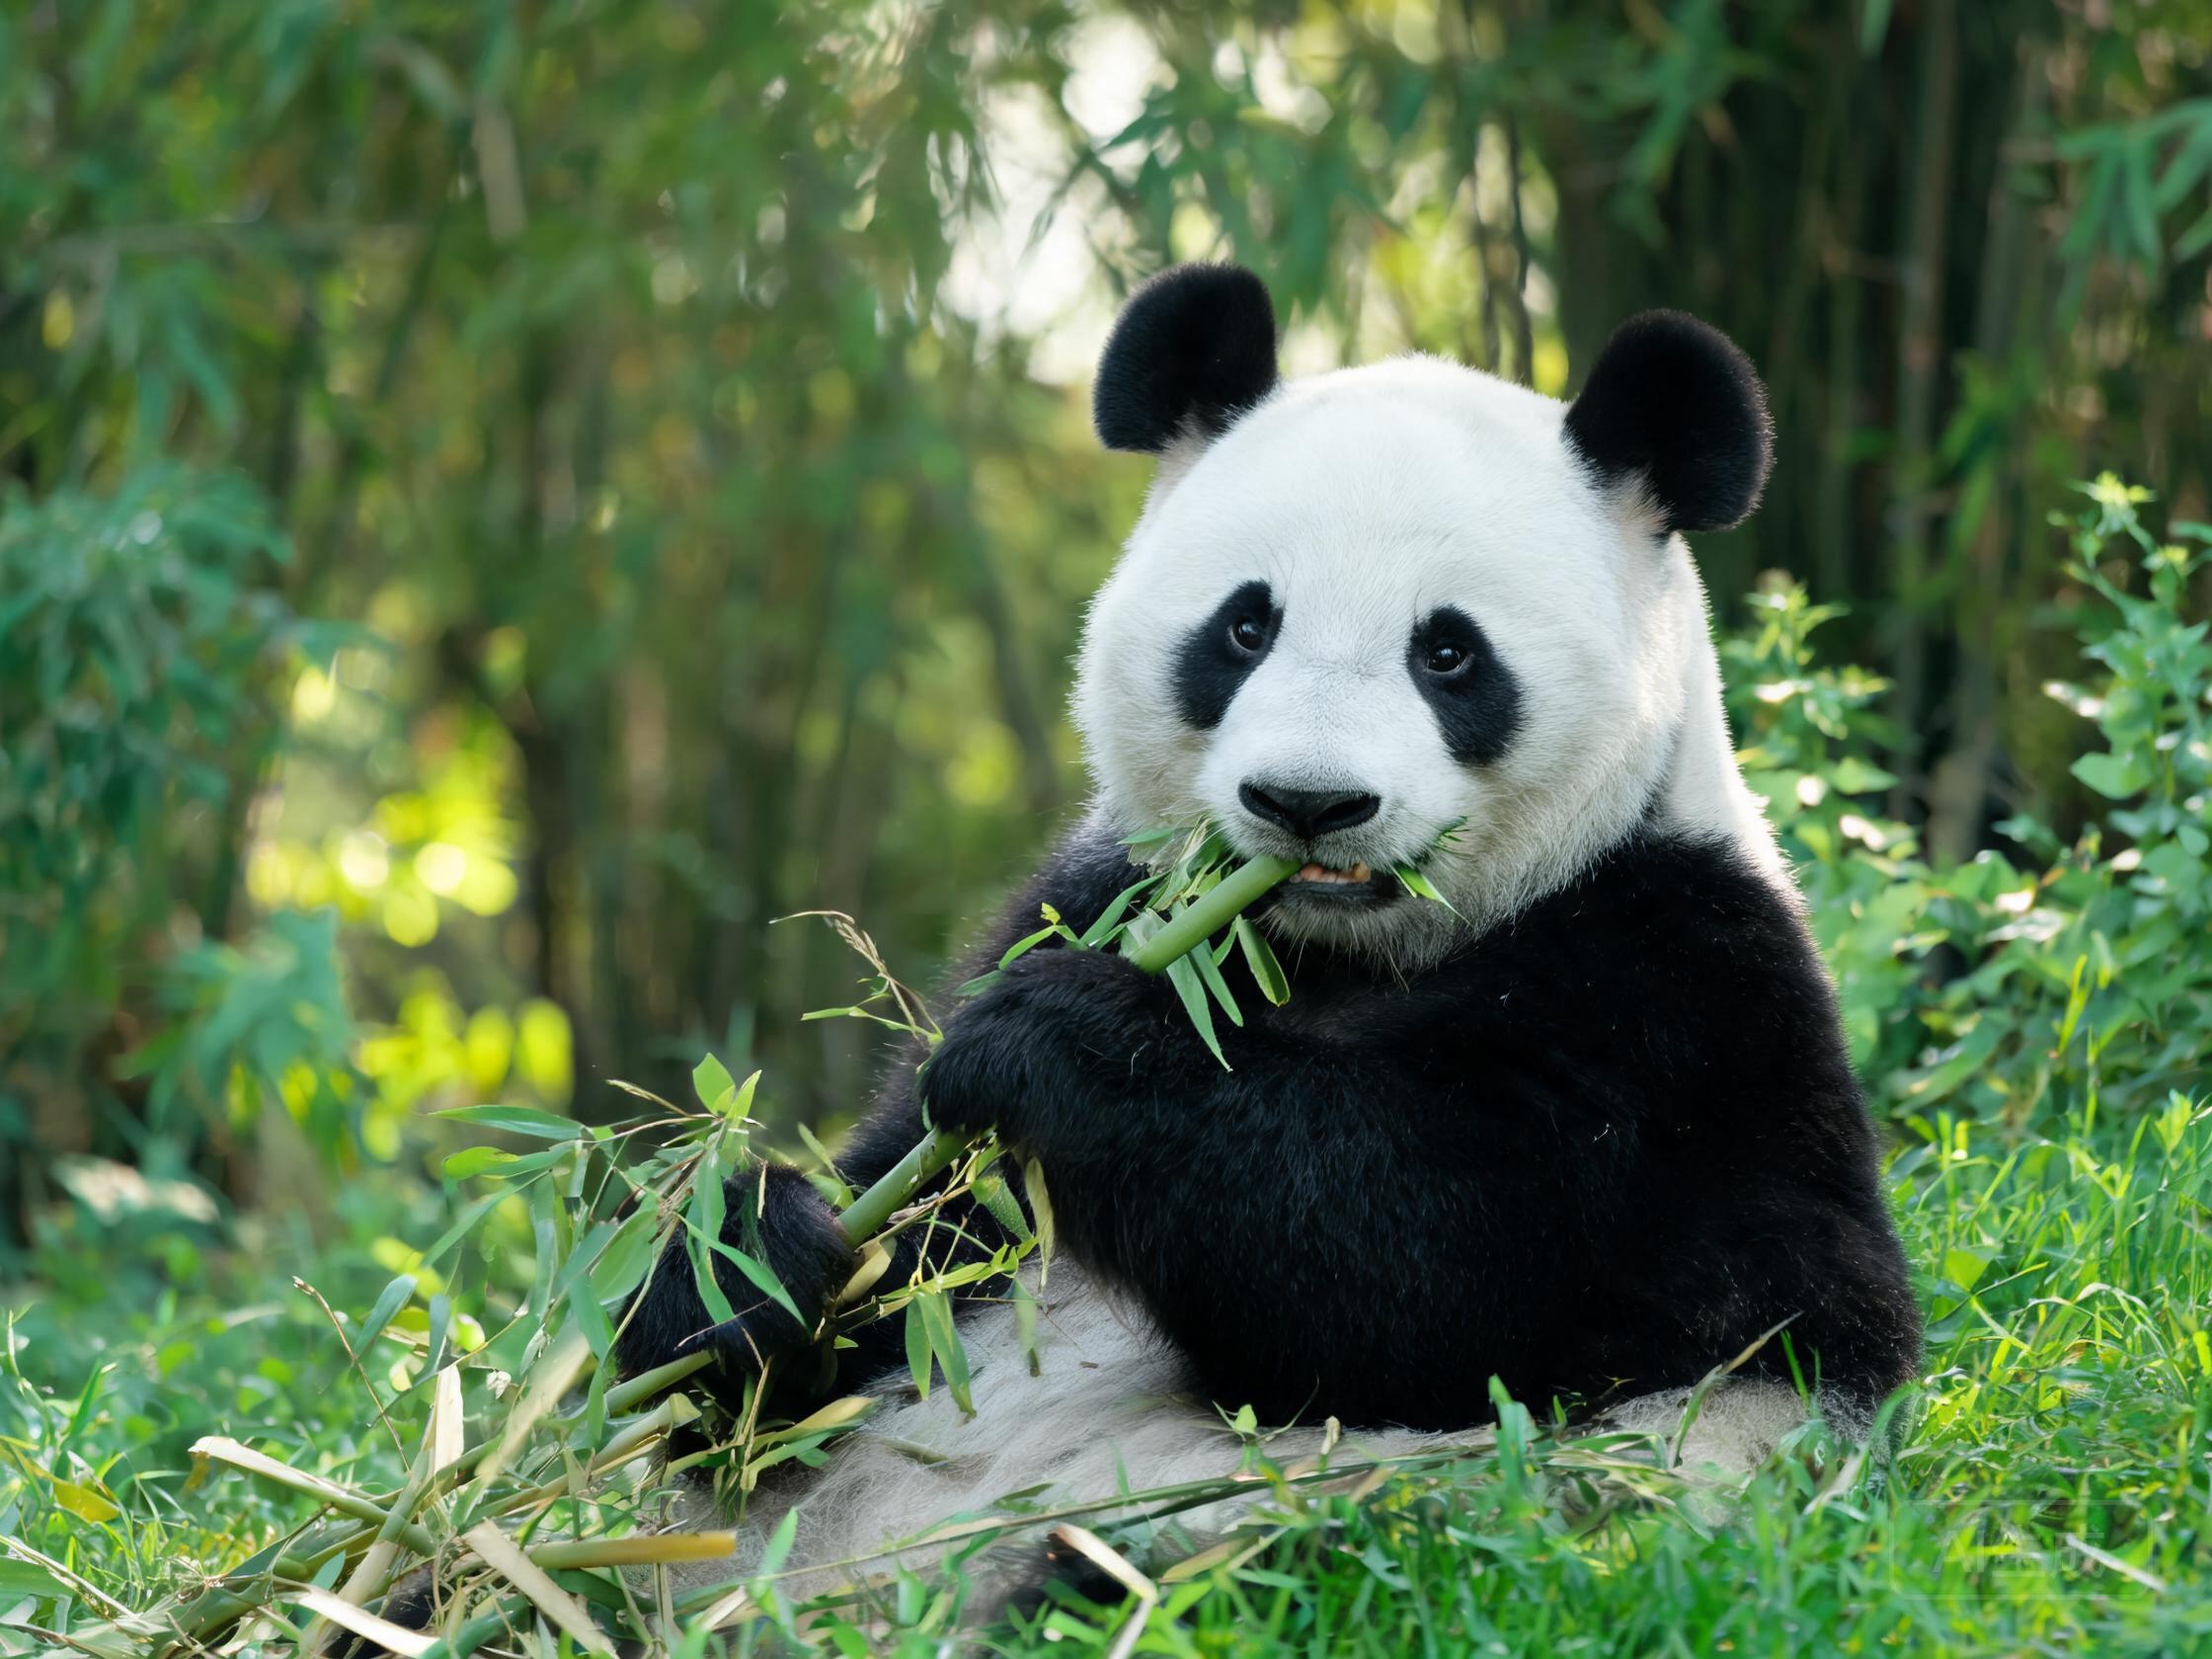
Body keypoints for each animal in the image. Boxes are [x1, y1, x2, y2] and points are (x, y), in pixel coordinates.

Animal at [610, 263, 1923, 1615]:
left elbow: (1454, 1272)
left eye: (1447, 653)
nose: (1307, 802)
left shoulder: (1682, 994)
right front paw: (739, 1264)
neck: (1322, 944)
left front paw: (1060, 1050)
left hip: (1381, 1527)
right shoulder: (1097, 892)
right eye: (1244, 629)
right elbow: (911, 1227)